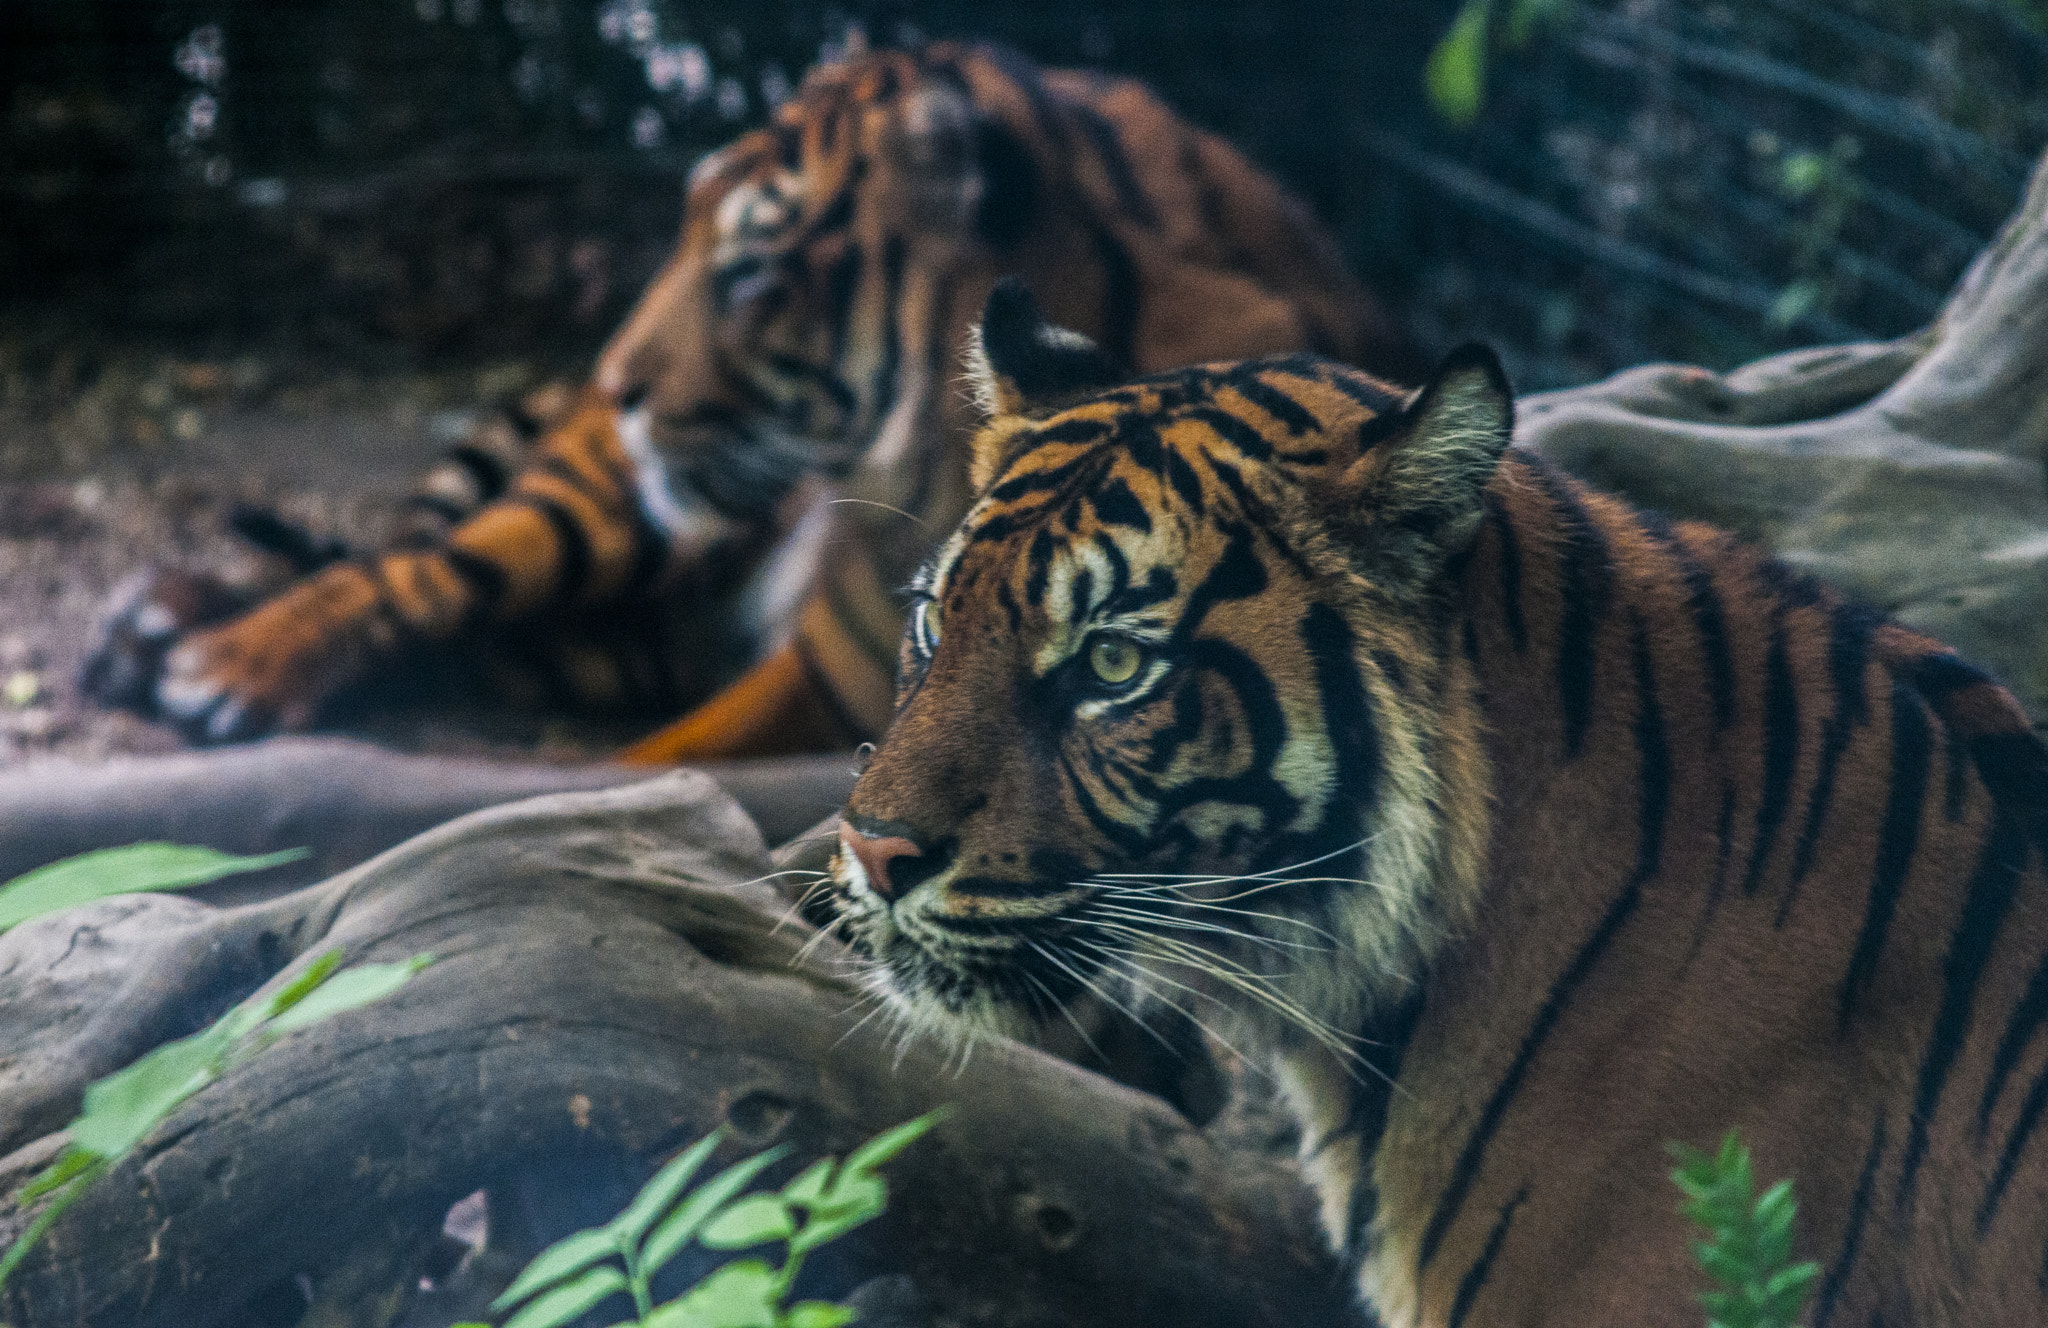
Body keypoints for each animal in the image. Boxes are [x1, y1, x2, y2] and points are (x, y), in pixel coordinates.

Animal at [83, 41, 1409, 758]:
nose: (618, 382)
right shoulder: (821, 674)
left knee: (488, 642)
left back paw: (170, 630)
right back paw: (205, 647)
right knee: (418, 570)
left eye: (754, 272)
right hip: (599, 514)